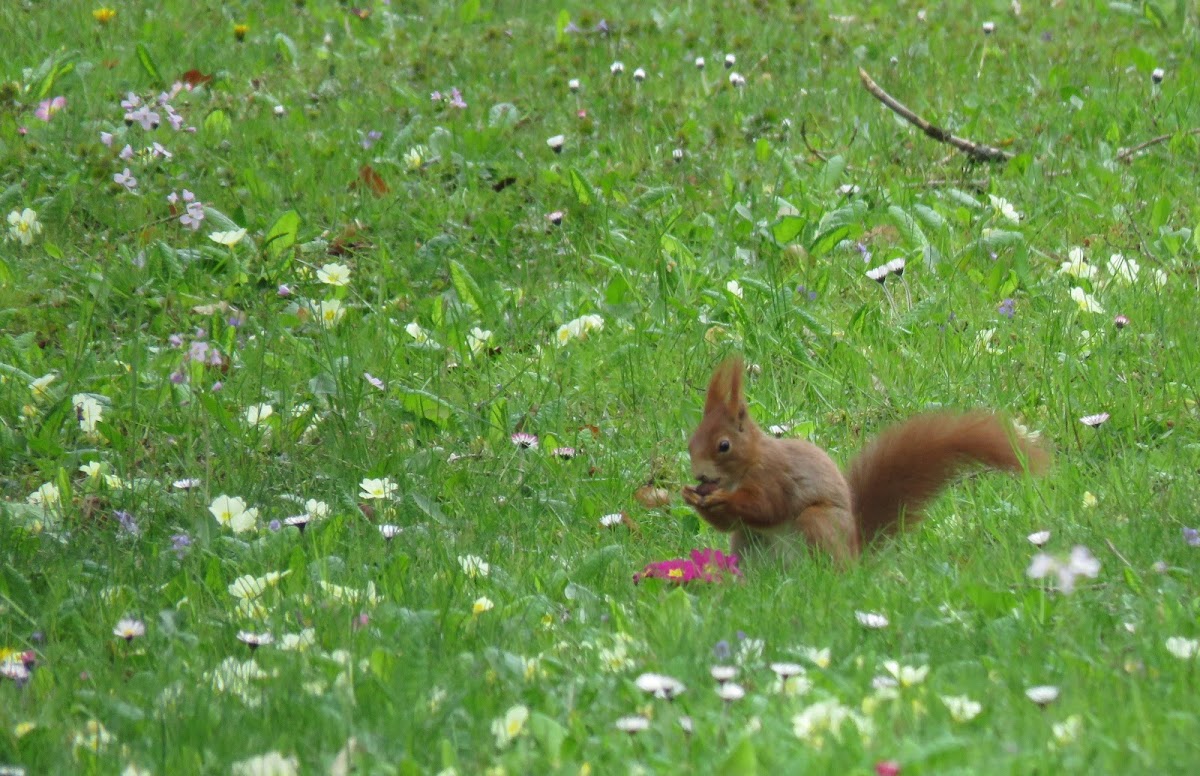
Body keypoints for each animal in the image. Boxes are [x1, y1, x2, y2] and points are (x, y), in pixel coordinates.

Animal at [686, 357, 1051, 563]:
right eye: (691, 442)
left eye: (723, 445)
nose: (700, 476)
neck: (747, 465)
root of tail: (855, 554)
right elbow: (729, 523)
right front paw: (691, 496)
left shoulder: (775, 476)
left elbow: (767, 507)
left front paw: (721, 498)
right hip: (748, 542)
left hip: (819, 523)